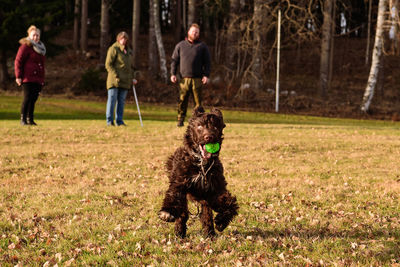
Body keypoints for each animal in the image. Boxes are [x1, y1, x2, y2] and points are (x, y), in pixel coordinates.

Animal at [158, 107, 238, 239]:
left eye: (215, 126)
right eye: (199, 126)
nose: (209, 137)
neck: (202, 165)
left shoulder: (215, 189)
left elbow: (229, 202)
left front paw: (222, 221)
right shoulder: (180, 181)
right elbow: (173, 194)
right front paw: (167, 212)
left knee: (206, 214)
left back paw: (209, 233)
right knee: (183, 212)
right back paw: (180, 231)